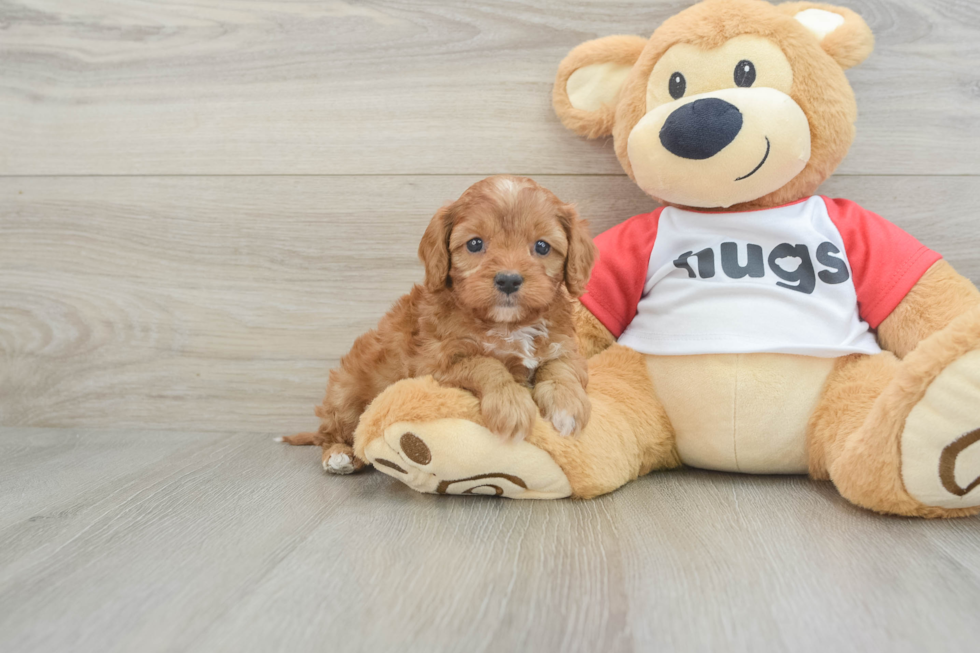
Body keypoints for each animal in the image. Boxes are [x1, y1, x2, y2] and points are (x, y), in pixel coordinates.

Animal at [282, 176, 596, 472]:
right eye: (475, 244)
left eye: (542, 246)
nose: (508, 280)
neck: (508, 324)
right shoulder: (434, 362)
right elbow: (486, 364)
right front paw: (511, 405)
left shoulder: (564, 346)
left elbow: (560, 369)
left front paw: (567, 406)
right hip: (345, 392)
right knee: (335, 433)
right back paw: (339, 455)